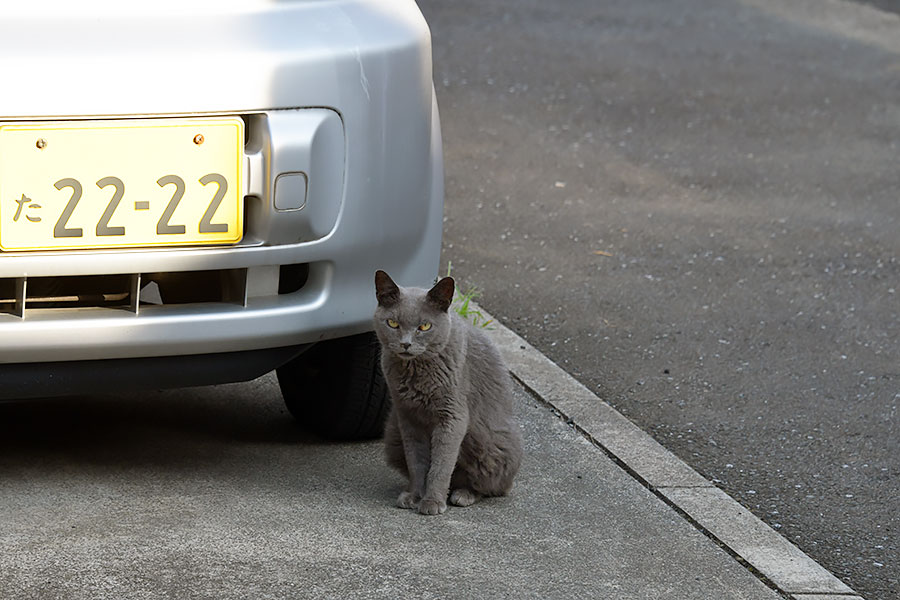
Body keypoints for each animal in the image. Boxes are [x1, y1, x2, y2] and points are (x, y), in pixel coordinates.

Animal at [374, 270, 524, 512]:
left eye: (424, 327)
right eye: (393, 323)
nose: (405, 344)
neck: (414, 372)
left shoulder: (453, 415)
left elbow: (441, 464)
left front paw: (432, 502)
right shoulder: (407, 417)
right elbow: (416, 461)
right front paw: (415, 495)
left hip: (488, 440)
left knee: (493, 486)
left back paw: (463, 495)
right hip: (392, 432)